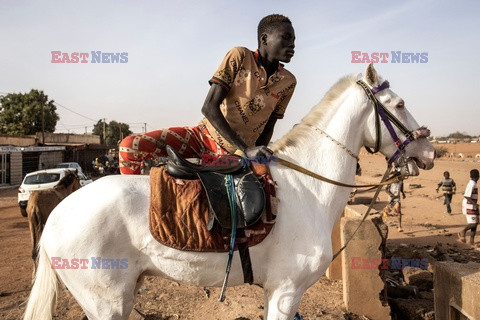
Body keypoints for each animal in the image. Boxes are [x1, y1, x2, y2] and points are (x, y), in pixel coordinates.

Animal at [23, 63, 436, 318]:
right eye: (400, 104)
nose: (430, 150)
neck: (309, 190)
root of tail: (56, 215)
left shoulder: (276, 293)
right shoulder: (286, 291)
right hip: (104, 302)